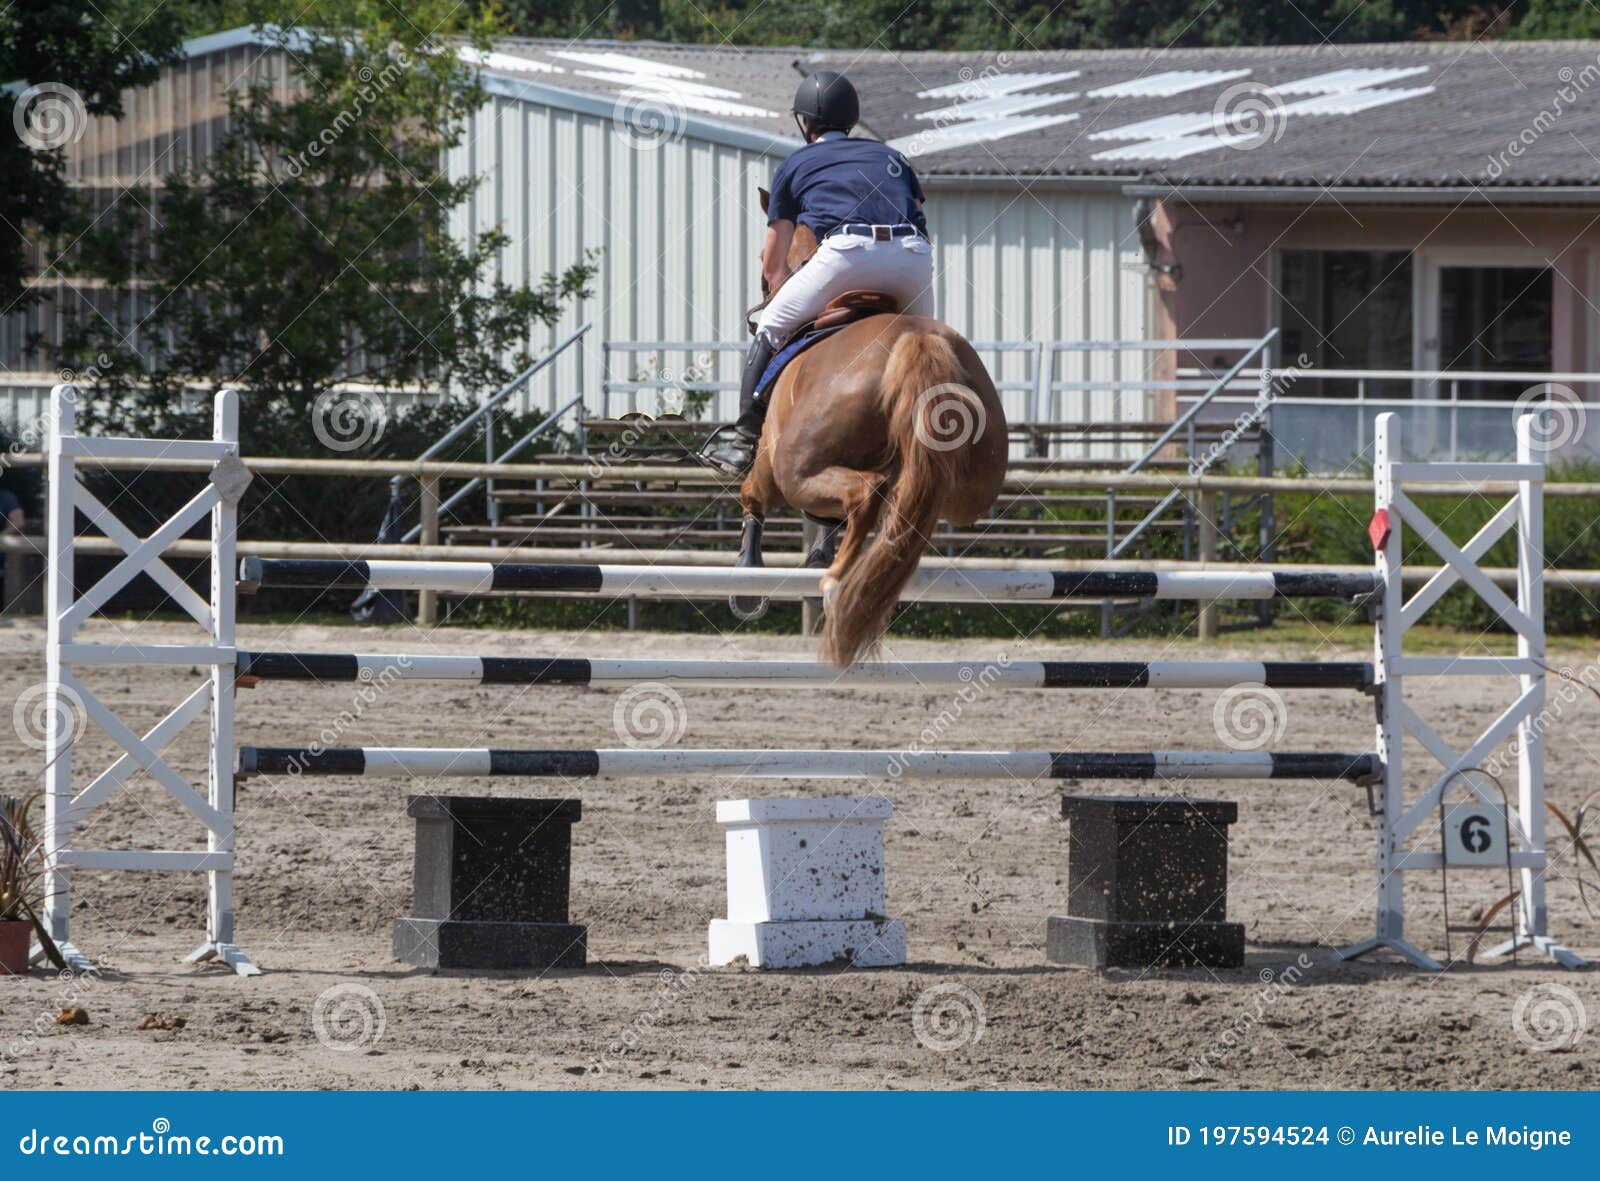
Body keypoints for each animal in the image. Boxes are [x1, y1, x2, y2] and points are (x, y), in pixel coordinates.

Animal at [732, 193, 1004, 662]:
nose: (759, 307)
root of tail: (913, 340)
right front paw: (819, 551)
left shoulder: (768, 460)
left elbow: (752, 496)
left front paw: (749, 576)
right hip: (970, 487)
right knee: (902, 507)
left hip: (793, 469)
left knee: (866, 493)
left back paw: (836, 579)